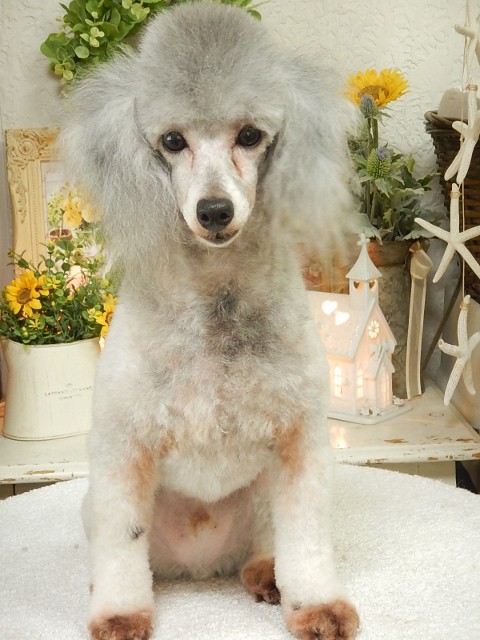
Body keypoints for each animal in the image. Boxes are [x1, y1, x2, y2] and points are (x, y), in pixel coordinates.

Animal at [62, 2, 360, 638]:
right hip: (99, 506)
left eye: (249, 135)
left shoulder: (300, 441)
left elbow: (308, 539)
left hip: (260, 499)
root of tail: (200, 564)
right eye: (173, 141)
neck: (215, 302)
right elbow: (121, 542)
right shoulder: (123, 447)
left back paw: (267, 575)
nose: (215, 211)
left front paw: (316, 606)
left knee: (269, 544)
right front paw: (120, 614)